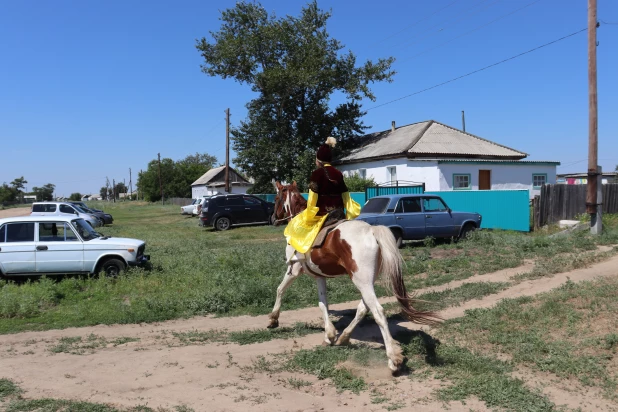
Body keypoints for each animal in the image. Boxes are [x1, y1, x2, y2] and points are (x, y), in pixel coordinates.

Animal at [270, 182, 438, 372]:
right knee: (363, 308)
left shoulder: (293, 269)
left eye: (276, 198)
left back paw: (393, 359)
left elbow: (280, 289)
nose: (273, 218)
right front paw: (329, 335)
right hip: (367, 281)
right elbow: (323, 303)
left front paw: (273, 319)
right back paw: (344, 338)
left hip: (362, 281)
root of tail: (372, 231)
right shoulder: (319, 276)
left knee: (377, 312)